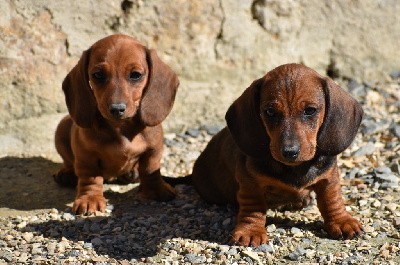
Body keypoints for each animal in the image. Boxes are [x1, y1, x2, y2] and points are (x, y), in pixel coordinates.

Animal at [54, 34, 179, 213]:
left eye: (135, 75)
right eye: (98, 75)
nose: (117, 109)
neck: (121, 128)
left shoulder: (153, 150)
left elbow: (150, 169)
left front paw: (158, 189)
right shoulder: (86, 155)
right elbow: (90, 178)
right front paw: (90, 199)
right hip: (62, 127)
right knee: (69, 162)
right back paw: (67, 174)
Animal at [190, 63, 362, 245]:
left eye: (310, 110)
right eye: (270, 111)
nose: (289, 152)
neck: (294, 168)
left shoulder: (328, 178)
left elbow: (332, 199)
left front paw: (342, 221)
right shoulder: (249, 183)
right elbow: (253, 207)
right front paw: (250, 231)